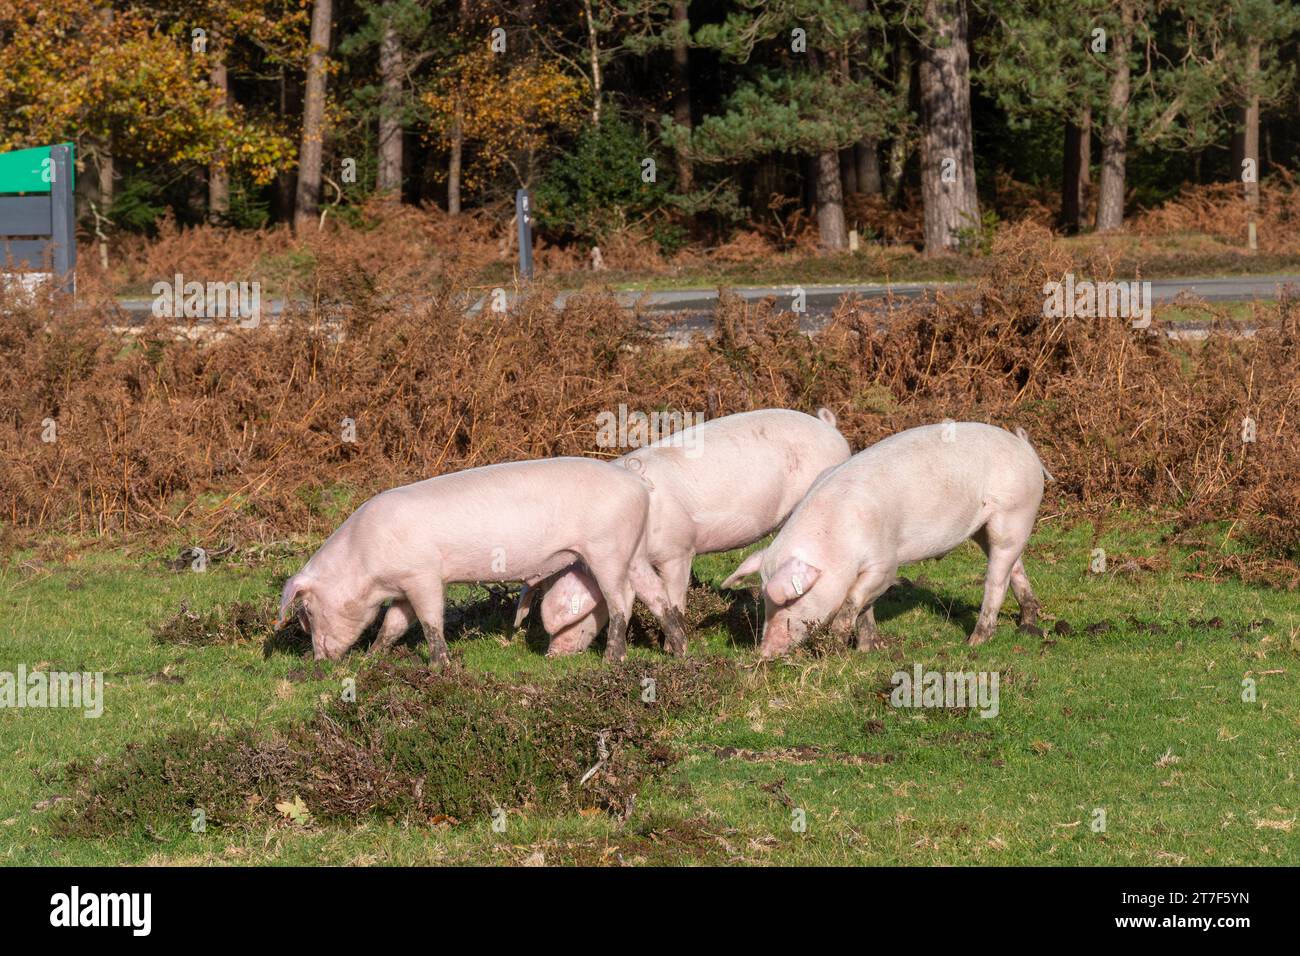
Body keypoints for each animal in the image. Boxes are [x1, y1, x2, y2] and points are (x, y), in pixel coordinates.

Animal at [278, 460, 686, 660]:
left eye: (307, 611)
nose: (318, 661)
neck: (364, 561)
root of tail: (638, 485)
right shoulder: (404, 587)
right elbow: (393, 624)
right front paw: (372, 659)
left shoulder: (422, 575)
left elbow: (430, 622)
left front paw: (440, 665)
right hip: (633, 550)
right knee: (656, 594)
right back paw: (680, 653)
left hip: (608, 548)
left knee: (623, 601)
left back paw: (612, 660)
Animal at [517, 408, 852, 660]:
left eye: (572, 614)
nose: (551, 655)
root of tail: (830, 428)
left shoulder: (677, 550)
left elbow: (675, 598)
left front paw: (670, 650)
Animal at [722, 424, 1055, 658]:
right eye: (764, 599)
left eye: (793, 599)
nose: (764, 652)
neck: (838, 540)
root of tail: (1025, 448)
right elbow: (864, 608)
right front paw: (867, 649)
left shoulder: (884, 564)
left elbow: (854, 601)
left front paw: (837, 646)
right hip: (988, 529)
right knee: (1014, 568)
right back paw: (1026, 623)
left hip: (1016, 513)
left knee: (996, 580)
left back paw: (974, 642)